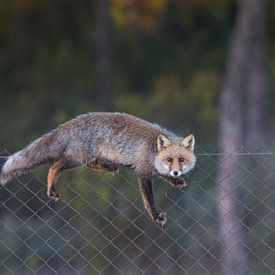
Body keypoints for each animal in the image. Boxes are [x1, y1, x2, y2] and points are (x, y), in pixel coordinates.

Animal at [1, 112, 197, 226]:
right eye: (169, 159)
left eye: (181, 160)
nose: (176, 172)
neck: (153, 150)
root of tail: (69, 123)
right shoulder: (142, 171)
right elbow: (149, 200)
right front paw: (155, 216)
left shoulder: (151, 167)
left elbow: (162, 175)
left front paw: (175, 180)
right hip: (76, 158)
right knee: (54, 166)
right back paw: (51, 187)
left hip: (88, 155)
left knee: (90, 163)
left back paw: (109, 166)